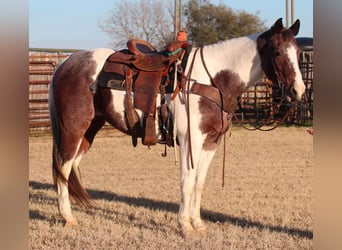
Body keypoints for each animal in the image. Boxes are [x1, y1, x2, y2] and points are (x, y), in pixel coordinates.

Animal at [48, 18, 304, 236]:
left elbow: (199, 183)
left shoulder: (211, 142)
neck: (213, 80)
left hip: (89, 130)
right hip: (73, 128)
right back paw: (68, 217)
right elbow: (187, 182)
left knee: (71, 167)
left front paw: (198, 223)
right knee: (63, 167)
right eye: (277, 52)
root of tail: (65, 64)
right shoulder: (190, 140)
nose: (298, 90)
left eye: (299, 52)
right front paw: (184, 225)